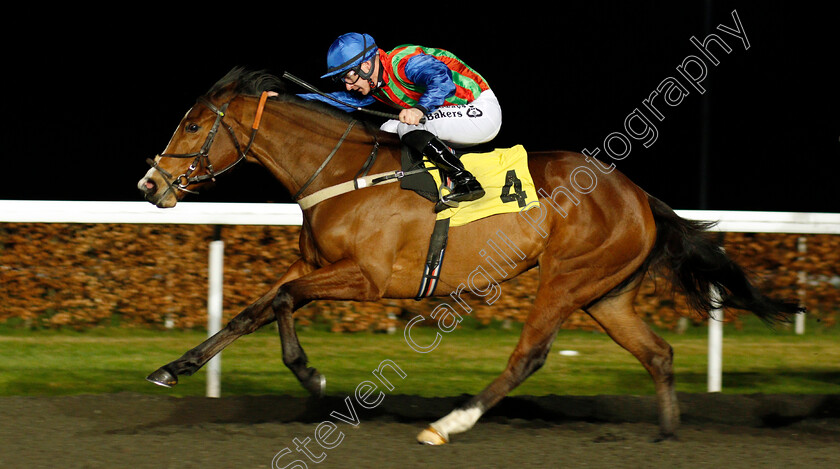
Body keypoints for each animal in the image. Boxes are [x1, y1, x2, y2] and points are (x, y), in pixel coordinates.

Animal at [138, 68, 800, 442]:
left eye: (193, 126)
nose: (150, 185)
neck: (344, 172)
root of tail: (639, 196)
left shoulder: (367, 278)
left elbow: (280, 301)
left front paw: (312, 375)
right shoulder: (318, 265)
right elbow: (255, 307)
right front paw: (173, 367)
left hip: (565, 278)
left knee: (529, 356)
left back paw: (448, 425)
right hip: (606, 294)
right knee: (658, 354)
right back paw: (666, 435)